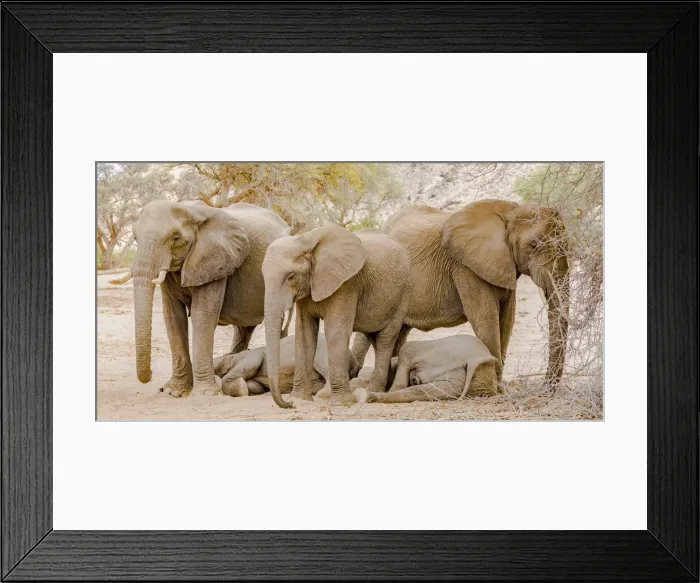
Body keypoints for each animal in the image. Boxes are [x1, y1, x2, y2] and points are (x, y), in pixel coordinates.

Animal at [131, 200, 290, 397]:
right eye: (135, 237)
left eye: (176, 239)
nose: (151, 375)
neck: (190, 210)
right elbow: (173, 318)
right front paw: (174, 392)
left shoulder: (216, 261)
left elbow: (203, 315)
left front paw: (206, 393)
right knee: (243, 329)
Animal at [212, 333, 358, 397]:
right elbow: (256, 386)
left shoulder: (252, 354)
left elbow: (252, 364)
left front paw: (241, 389)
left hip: (322, 349)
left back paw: (324, 394)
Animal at [262, 225, 412, 408]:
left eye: (290, 277)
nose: (288, 404)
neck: (305, 241)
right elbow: (304, 334)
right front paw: (299, 399)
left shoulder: (347, 283)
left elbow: (335, 332)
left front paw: (341, 403)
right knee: (375, 338)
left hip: (402, 294)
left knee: (385, 339)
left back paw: (372, 391)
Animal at [351, 199, 570, 388]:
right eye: (534, 245)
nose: (546, 387)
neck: (511, 209)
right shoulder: (465, 266)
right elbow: (485, 318)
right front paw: (493, 389)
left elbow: (507, 319)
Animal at [352, 334, 497, 403]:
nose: (415, 379)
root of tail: (473, 359)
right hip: (458, 381)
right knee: (422, 391)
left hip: (434, 352)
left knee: (407, 349)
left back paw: (361, 394)